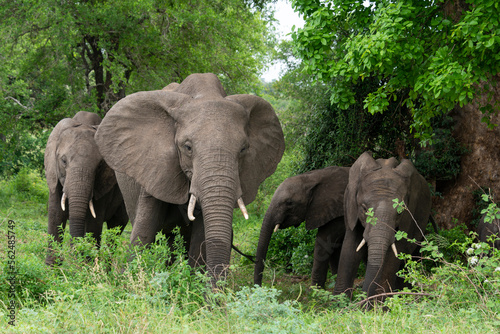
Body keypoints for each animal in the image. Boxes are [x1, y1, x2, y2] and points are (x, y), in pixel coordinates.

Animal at [44, 111, 129, 264]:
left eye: (100, 166)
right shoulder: (54, 176)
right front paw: (53, 268)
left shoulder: (103, 187)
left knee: (116, 227)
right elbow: (55, 215)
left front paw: (86, 266)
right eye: (63, 161)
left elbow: (93, 224)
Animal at [94, 73, 286, 284]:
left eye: (243, 149)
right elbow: (143, 232)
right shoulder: (155, 168)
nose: (218, 290)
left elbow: (200, 238)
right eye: (187, 147)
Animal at [334, 151, 432, 306]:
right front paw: (338, 305)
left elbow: (394, 255)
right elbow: (349, 249)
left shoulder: (409, 217)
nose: (362, 302)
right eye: (364, 209)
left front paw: (380, 307)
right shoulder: (350, 207)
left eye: (400, 212)